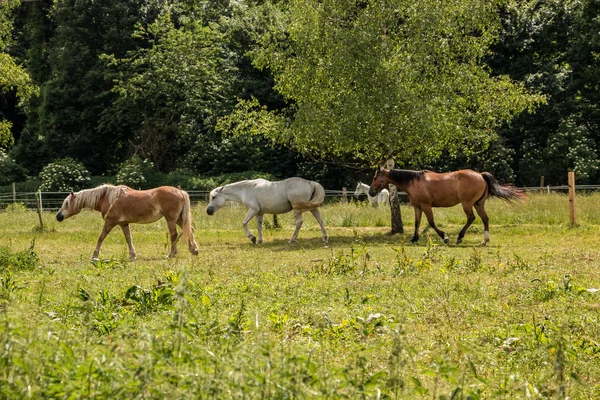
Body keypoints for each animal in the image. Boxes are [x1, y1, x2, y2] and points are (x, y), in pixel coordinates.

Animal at [55, 184, 199, 260]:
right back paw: (194, 249)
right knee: (189, 230)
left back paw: (171, 254)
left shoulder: (110, 223)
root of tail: (179, 191)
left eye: (67, 203)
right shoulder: (123, 223)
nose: (58, 216)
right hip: (180, 219)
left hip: (171, 220)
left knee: (174, 235)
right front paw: (132, 255)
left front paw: (95, 255)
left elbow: (101, 238)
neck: (108, 197)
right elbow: (129, 238)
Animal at [368, 167, 528, 245]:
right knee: (485, 219)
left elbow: (431, 222)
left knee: (471, 218)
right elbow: (417, 223)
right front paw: (414, 239)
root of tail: (480, 175)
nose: (371, 192)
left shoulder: (426, 206)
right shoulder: (417, 207)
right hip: (478, 204)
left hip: (467, 204)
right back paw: (484, 241)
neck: (415, 181)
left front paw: (444, 237)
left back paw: (459, 238)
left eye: (375, 177)